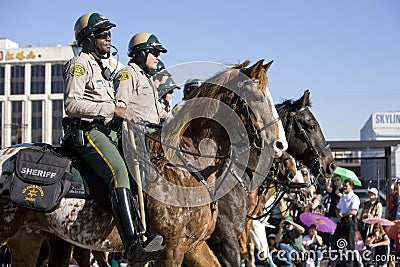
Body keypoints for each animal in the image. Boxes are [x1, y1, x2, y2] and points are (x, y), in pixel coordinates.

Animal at [0, 59, 288, 266]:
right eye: (258, 98)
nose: (281, 145)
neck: (186, 168)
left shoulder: (195, 246)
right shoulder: (172, 249)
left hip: (32, 239)